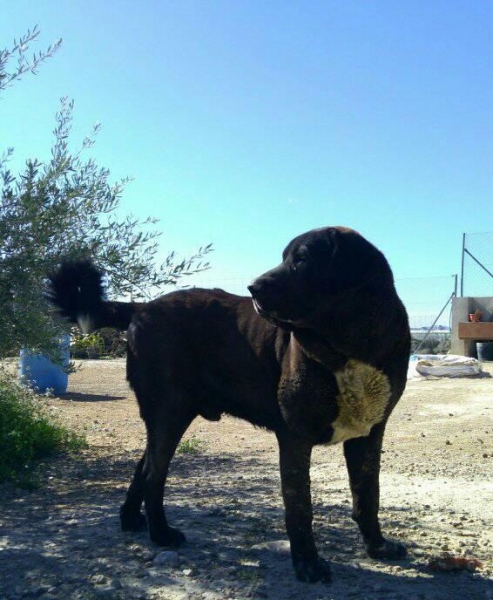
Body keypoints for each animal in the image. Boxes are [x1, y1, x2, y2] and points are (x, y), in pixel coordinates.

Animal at [48, 225, 410, 580]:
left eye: (302, 259)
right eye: (285, 257)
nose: (253, 287)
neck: (350, 344)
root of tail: (142, 308)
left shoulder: (369, 434)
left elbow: (368, 495)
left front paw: (378, 547)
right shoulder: (295, 437)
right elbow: (300, 505)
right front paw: (307, 564)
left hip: (168, 416)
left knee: (144, 465)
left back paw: (131, 519)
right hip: (170, 412)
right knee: (153, 473)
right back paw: (161, 533)